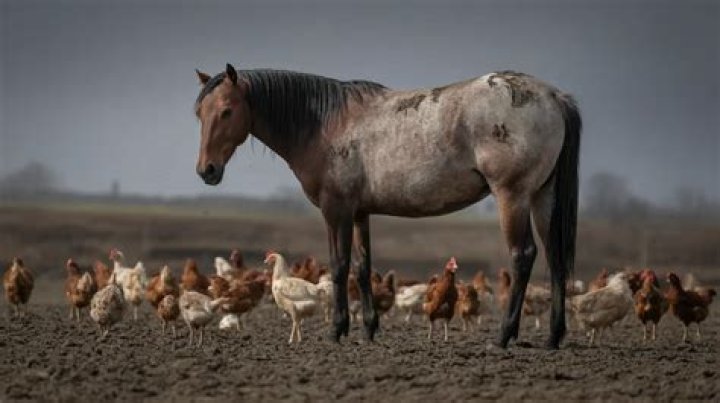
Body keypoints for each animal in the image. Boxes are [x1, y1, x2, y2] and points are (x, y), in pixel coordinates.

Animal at [193, 64, 581, 349]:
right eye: (200, 112)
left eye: (227, 111)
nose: (206, 171)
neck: (325, 125)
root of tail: (553, 96)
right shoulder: (360, 213)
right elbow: (363, 268)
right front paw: (369, 329)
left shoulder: (336, 210)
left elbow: (339, 267)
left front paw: (337, 330)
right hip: (542, 197)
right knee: (555, 258)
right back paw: (553, 337)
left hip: (512, 196)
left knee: (523, 255)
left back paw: (503, 336)